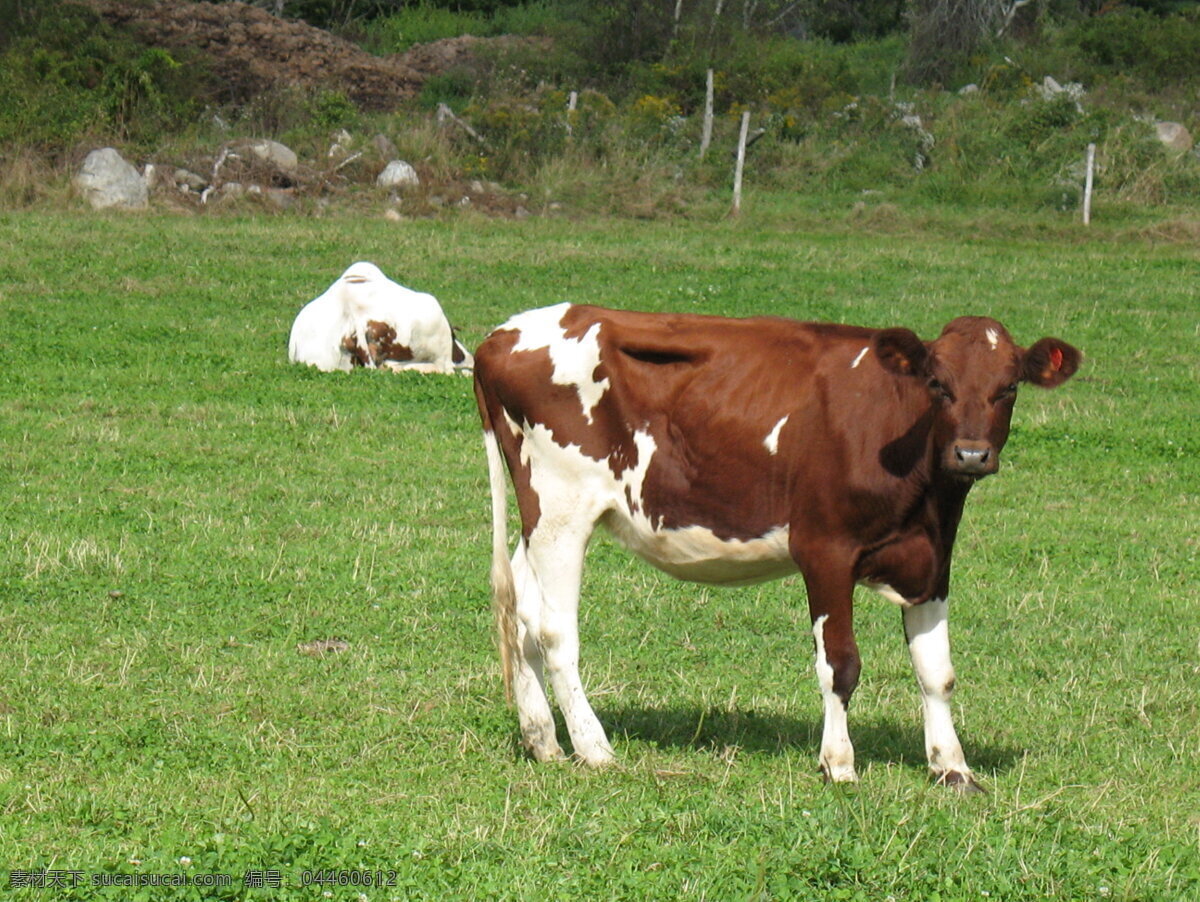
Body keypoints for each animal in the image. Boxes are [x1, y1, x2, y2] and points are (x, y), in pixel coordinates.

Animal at [472, 303, 1084, 786]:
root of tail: (502, 334)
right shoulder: (825, 550)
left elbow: (937, 670)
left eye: (1008, 387)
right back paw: (594, 748)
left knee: (522, 613)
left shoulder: (933, 560)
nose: (971, 454)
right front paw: (838, 764)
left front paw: (952, 767)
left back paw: (543, 740)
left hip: (538, 519)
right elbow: (840, 663)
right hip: (561, 506)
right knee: (555, 631)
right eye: (938, 384)